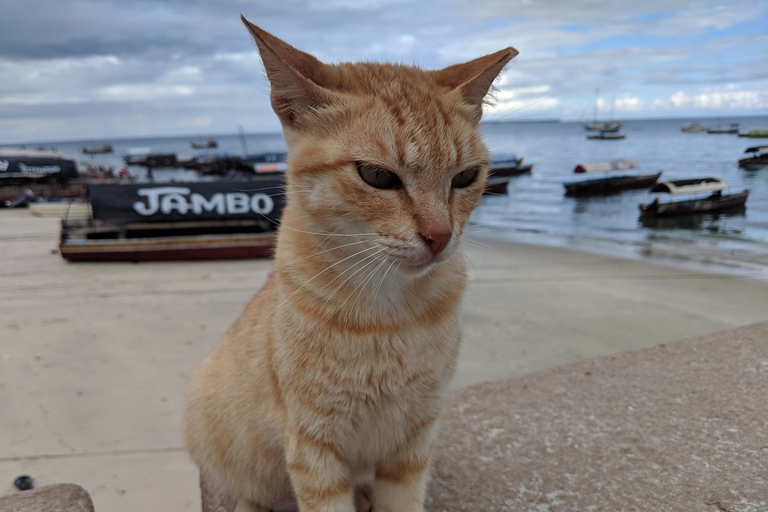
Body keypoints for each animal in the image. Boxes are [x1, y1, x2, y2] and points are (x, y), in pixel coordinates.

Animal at [183, 16, 516, 512]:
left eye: (465, 177)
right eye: (377, 176)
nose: (440, 237)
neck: (389, 316)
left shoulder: (414, 438)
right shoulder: (313, 448)